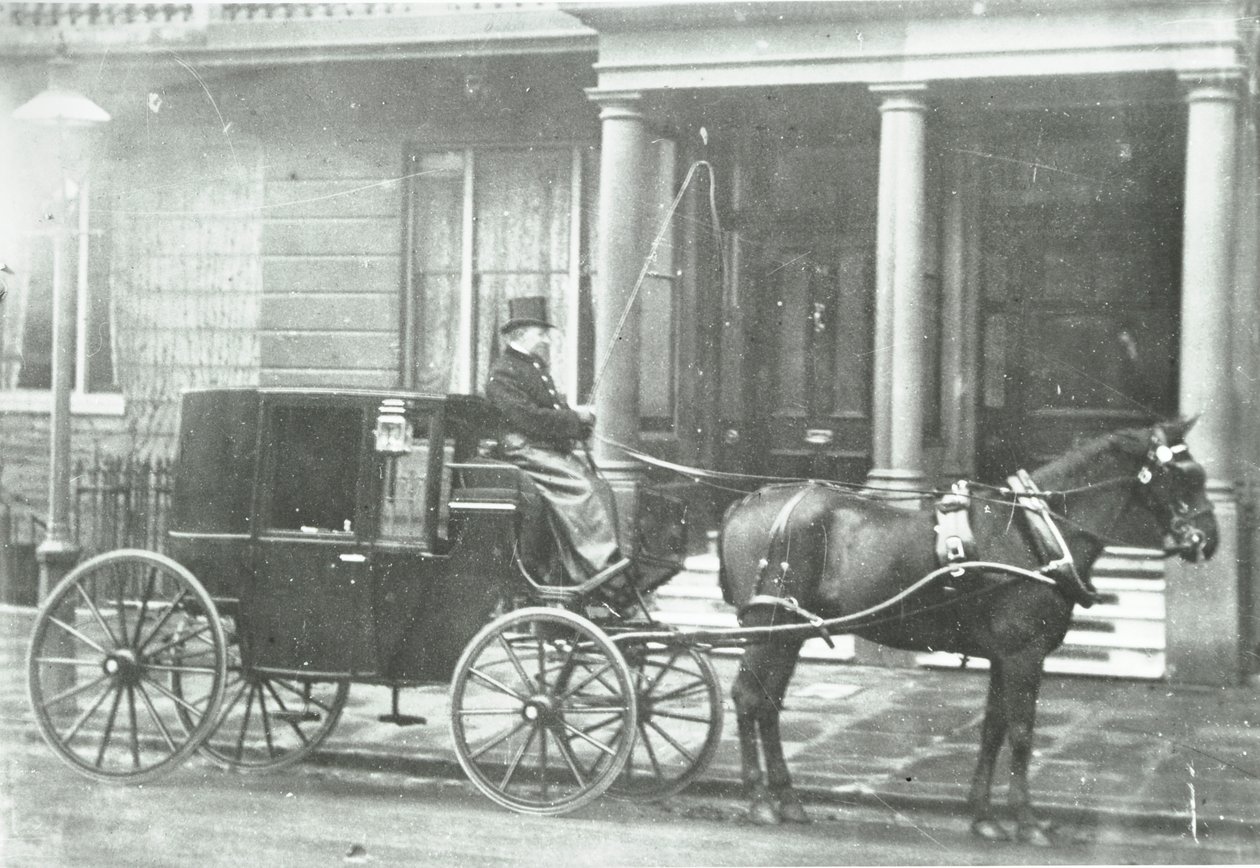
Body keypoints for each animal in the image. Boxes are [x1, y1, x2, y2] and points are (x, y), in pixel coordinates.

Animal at [720, 415, 1219, 841]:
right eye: (1185, 477)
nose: (1209, 540)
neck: (1032, 534)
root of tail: (746, 503)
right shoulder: (1023, 654)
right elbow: (1021, 733)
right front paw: (1028, 822)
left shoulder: (1003, 656)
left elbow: (993, 729)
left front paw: (983, 816)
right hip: (769, 627)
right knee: (748, 697)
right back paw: (759, 800)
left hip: (789, 633)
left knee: (768, 703)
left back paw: (787, 800)